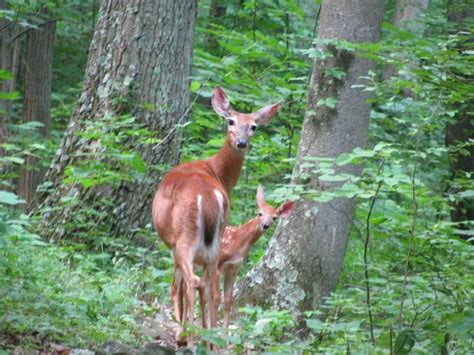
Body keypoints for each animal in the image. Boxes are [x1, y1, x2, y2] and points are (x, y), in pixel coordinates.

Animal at [152, 87, 280, 348]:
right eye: (231, 121)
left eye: (253, 126)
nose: (241, 142)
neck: (218, 173)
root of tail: (208, 197)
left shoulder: (172, 244)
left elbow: (176, 286)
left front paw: (181, 333)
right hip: (215, 241)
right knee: (208, 287)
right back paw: (209, 340)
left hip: (186, 236)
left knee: (191, 282)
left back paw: (191, 339)